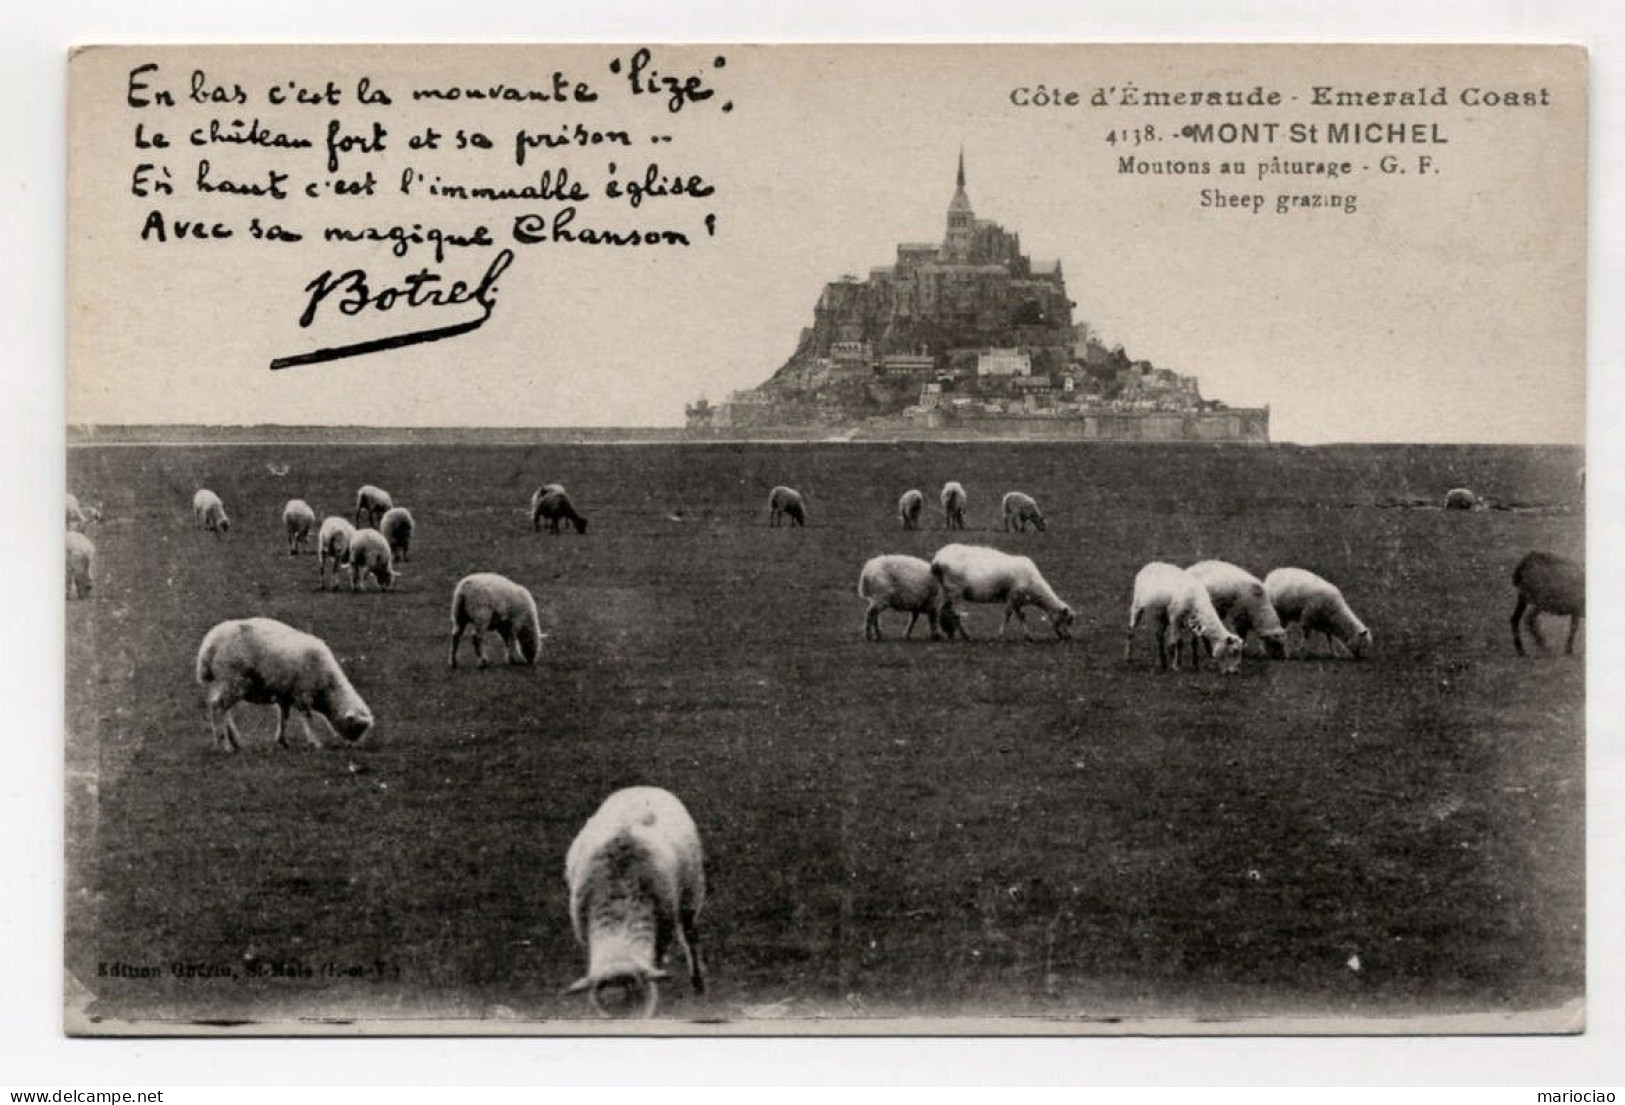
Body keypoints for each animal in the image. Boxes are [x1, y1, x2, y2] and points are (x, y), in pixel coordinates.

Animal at [195, 617, 372, 754]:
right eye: (357, 728)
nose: (352, 746)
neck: (328, 686)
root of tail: (209, 646)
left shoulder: (285, 695)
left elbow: (284, 717)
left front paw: (282, 741)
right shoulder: (303, 693)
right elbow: (307, 717)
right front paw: (315, 742)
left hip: (227, 683)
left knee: (223, 710)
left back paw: (236, 742)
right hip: (234, 680)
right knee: (218, 707)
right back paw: (225, 746)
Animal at [565, 786, 705, 1020]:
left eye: (635, 991)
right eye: (603, 1000)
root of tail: (645, 787)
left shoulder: (663, 930)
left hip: (691, 895)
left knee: (690, 938)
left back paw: (699, 985)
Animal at [936, 542, 1072, 640]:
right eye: (1066, 620)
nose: (1068, 637)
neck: (1035, 586)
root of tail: (938, 559)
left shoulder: (1018, 600)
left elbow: (1022, 616)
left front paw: (1028, 636)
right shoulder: (1013, 596)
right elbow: (1007, 615)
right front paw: (1000, 635)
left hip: (947, 590)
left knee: (943, 609)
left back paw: (946, 633)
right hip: (955, 591)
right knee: (956, 613)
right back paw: (967, 636)